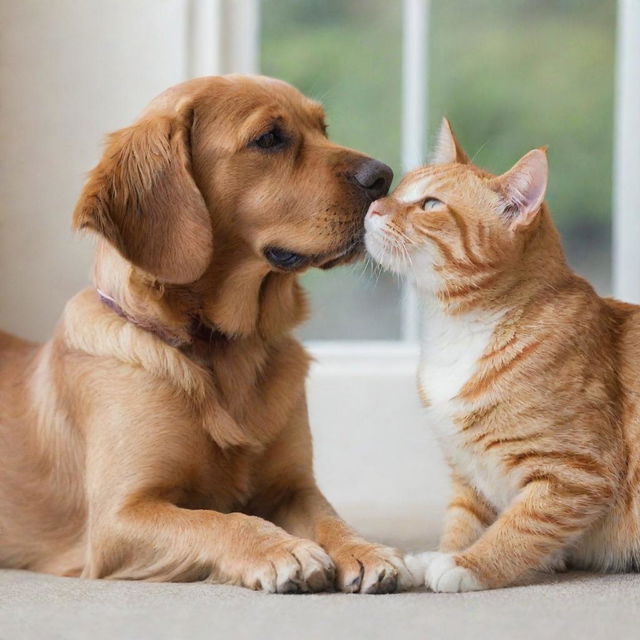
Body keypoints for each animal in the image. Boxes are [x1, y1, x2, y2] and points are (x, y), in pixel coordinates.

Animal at [0, 76, 410, 596]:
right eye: (269, 138)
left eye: (323, 128)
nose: (385, 176)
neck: (224, 349)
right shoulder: (120, 515)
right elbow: (217, 520)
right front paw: (281, 549)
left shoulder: (293, 487)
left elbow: (330, 519)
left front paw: (365, 549)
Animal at [364, 119, 640, 592]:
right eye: (399, 190)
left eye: (430, 204)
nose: (374, 207)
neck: (455, 331)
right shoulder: (467, 474)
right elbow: (464, 519)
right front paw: (441, 553)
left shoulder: (576, 474)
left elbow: (519, 526)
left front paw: (468, 564)